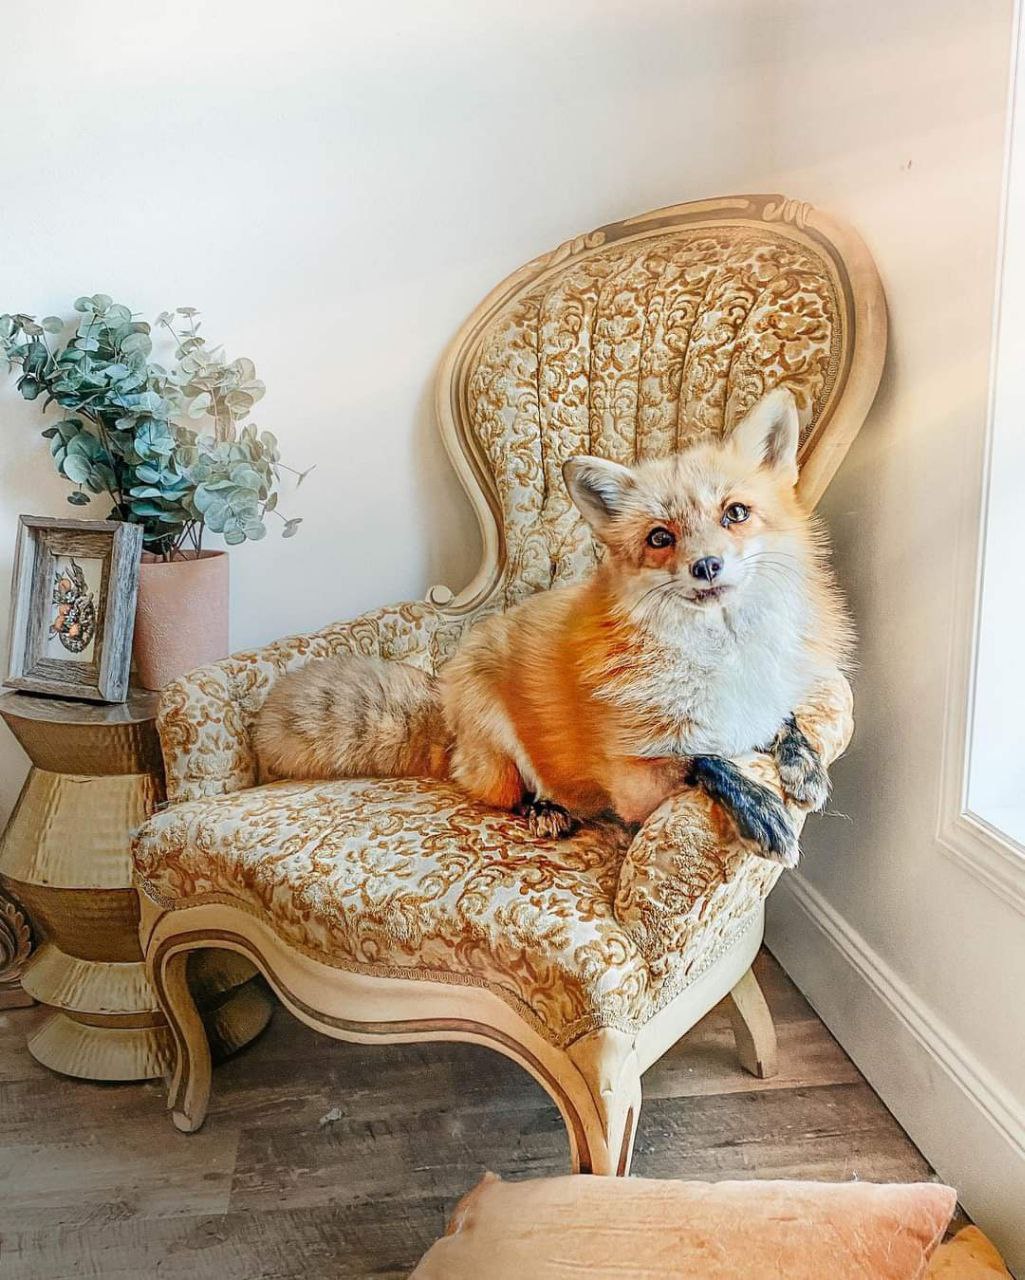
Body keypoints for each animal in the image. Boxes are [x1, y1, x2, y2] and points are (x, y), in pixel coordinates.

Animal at [254, 388, 852, 867]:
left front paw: (803, 765)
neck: (722, 654)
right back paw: (547, 810)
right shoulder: (637, 785)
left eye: (735, 513)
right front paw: (760, 807)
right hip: (499, 741)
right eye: (660, 538)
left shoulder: (761, 699)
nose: (706, 566)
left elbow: (783, 721)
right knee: (509, 793)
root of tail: (445, 711)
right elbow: (706, 759)